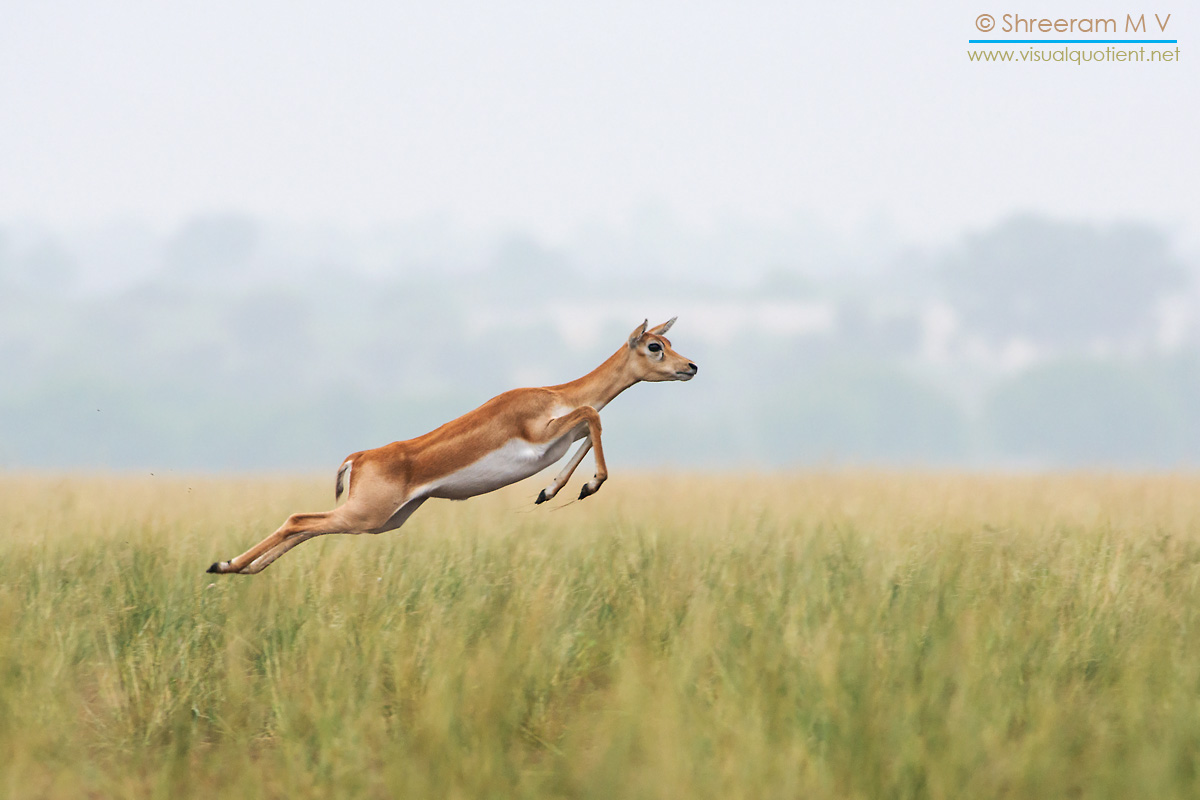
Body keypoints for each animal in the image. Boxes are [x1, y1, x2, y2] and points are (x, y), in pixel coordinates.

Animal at [205, 316, 696, 575]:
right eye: (655, 345)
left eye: (670, 340)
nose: (691, 366)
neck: (556, 394)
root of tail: (358, 458)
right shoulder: (543, 435)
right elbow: (594, 415)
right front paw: (585, 485)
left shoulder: (561, 438)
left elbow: (590, 428)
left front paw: (552, 490)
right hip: (366, 515)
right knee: (297, 519)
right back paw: (224, 566)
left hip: (383, 521)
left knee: (305, 527)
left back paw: (237, 568)